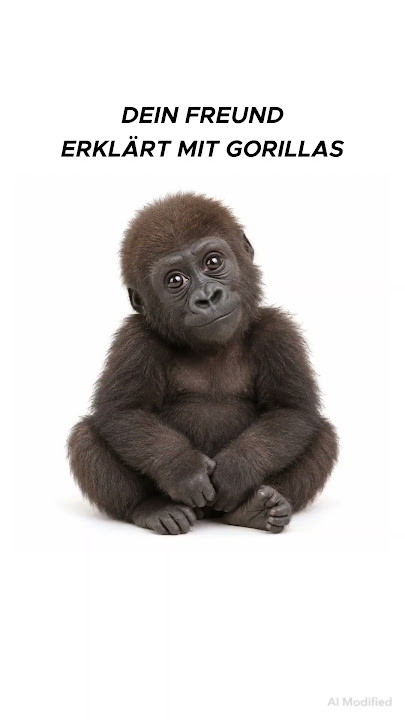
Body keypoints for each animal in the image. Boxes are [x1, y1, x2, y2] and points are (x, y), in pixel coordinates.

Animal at [68, 192, 338, 534]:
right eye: (175, 280)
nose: (207, 297)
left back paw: (257, 509)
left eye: (212, 262)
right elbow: (123, 412)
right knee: (84, 437)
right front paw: (184, 470)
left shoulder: (278, 331)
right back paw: (153, 508)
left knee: (324, 435)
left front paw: (237, 469)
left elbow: (291, 411)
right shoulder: (135, 338)